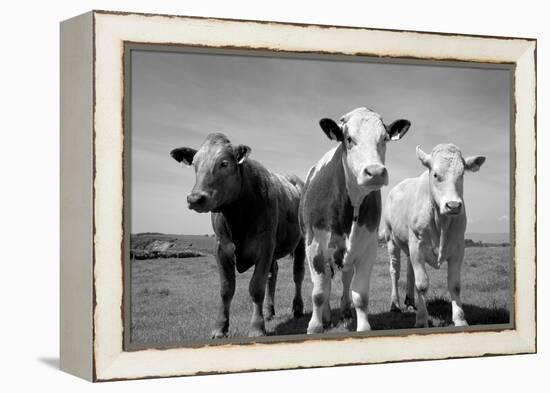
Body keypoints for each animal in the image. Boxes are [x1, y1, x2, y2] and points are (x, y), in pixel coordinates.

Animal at [170, 133, 306, 336]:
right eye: (195, 164)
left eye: (224, 163)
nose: (195, 198)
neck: (237, 217)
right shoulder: (221, 248)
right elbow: (226, 289)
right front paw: (220, 327)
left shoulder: (265, 246)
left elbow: (256, 287)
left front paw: (256, 328)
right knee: (273, 275)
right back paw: (269, 312)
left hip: (301, 241)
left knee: (298, 274)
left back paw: (297, 308)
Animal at [300, 108, 412, 334]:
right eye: (349, 139)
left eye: (384, 138)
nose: (375, 172)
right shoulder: (314, 247)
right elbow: (319, 293)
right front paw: (315, 326)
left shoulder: (367, 248)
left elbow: (360, 295)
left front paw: (363, 327)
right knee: (326, 283)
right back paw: (326, 316)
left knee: (344, 279)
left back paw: (344, 312)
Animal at [384, 142, 488, 326]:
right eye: (435, 174)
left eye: (462, 174)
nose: (453, 205)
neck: (441, 223)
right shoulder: (417, 247)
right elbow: (422, 285)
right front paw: (421, 320)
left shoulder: (458, 248)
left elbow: (455, 285)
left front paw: (460, 319)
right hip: (391, 240)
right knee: (395, 271)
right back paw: (395, 304)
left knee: (409, 271)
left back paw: (410, 302)